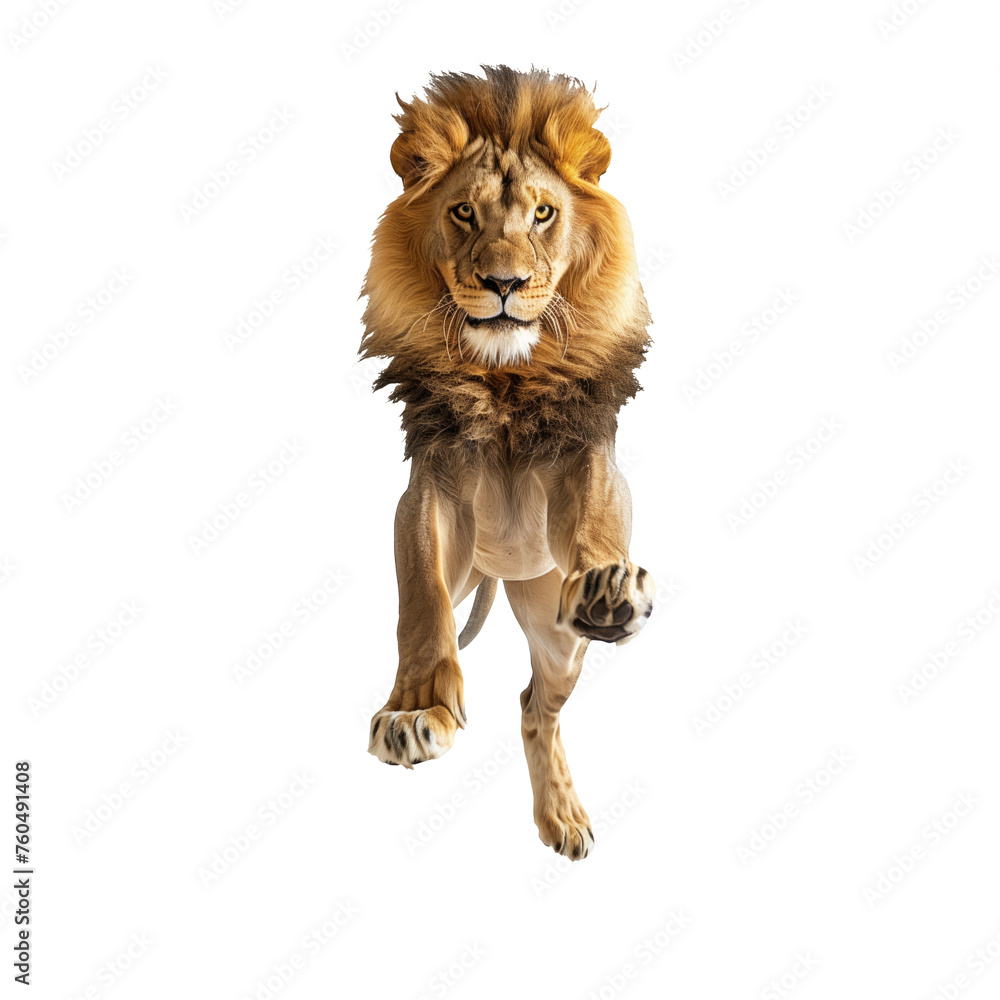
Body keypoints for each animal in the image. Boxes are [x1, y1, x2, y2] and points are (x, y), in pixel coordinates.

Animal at [360, 66, 654, 860]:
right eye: (464, 212)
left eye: (544, 214)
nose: (504, 284)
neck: (504, 380)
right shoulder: (428, 489)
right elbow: (420, 602)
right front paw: (415, 711)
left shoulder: (585, 453)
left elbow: (596, 523)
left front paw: (610, 587)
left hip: (555, 633)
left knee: (535, 704)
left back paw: (562, 816)